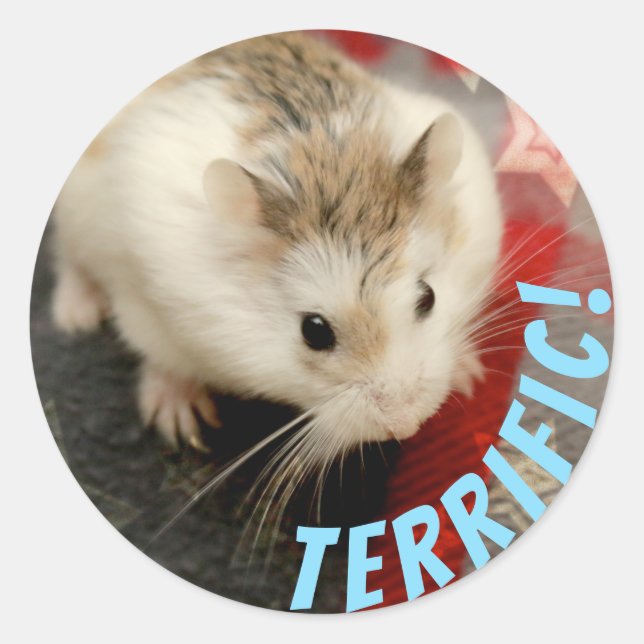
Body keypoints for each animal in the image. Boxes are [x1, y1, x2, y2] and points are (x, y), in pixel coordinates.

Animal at [51, 32, 502, 453]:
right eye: (314, 332)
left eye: (428, 297)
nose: (407, 426)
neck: (329, 171)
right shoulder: (146, 307)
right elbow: (165, 360)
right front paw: (182, 426)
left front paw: (470, 375)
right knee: (71, 263)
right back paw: (75, 318)